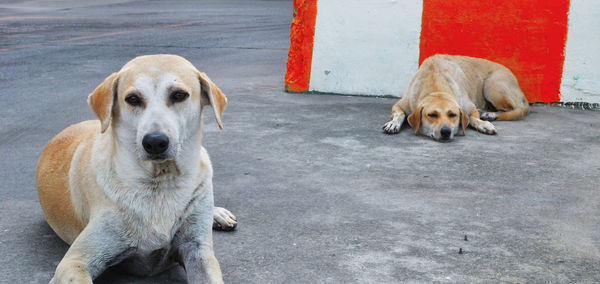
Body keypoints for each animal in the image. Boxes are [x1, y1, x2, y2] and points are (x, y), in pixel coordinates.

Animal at [35, 54, 237, 282]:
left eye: (179, 95)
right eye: (132, 99)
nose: (155, 142)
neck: (160, 183)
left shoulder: (198, 251)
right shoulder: (72, 264)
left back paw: (217, 213)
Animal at [384, 54, 528, 141]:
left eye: (453, 115)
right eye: (432, 115)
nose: (446, 132)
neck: (436, 86)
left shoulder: (469, 107)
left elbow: (473, 118)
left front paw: (484, 125)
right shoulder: (400, 104)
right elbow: (400, 114)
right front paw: (393, 124)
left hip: (492, 85)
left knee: (513, 109)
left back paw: (490, 114)